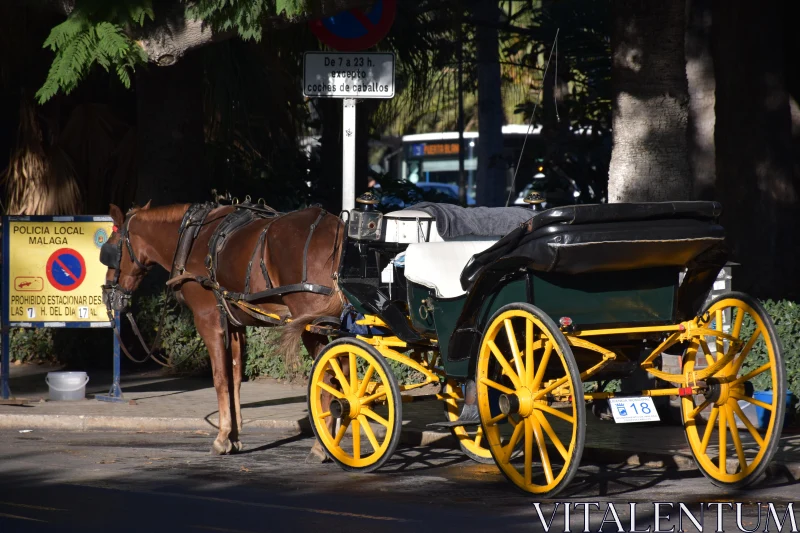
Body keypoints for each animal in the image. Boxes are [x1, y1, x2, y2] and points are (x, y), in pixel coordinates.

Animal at [102, 202, 344, 456]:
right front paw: (234, 437)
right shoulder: (234, 325)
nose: (107, 295)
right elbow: (234, 378)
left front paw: (222, 437)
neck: (192, 239)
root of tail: (337, 229)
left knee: (330, 376)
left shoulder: (208, 322)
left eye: (110, 248)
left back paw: (322, 446)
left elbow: (219, 378)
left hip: (312, 325)